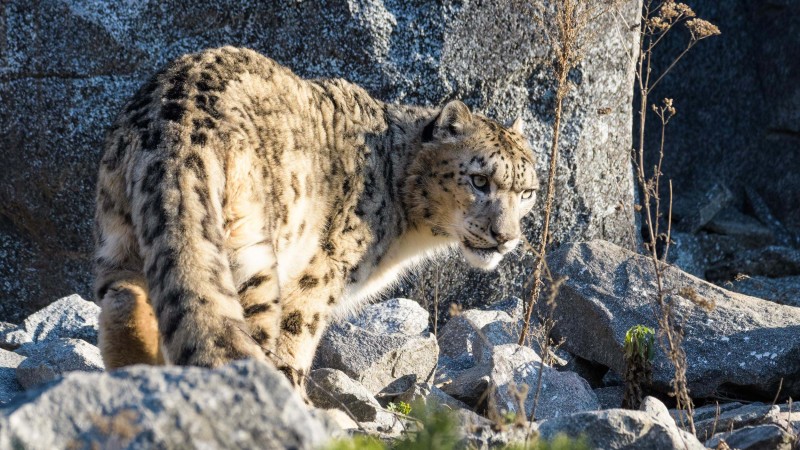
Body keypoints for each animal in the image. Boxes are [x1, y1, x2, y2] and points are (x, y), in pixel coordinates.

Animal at [94, 46, 539, 392]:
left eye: (527, 192)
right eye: (479, 180)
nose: (505, 237)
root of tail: (177, 128)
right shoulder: (323, 271)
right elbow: (297, 336)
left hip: (120, 233)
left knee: (124, 299)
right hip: (252, 248)